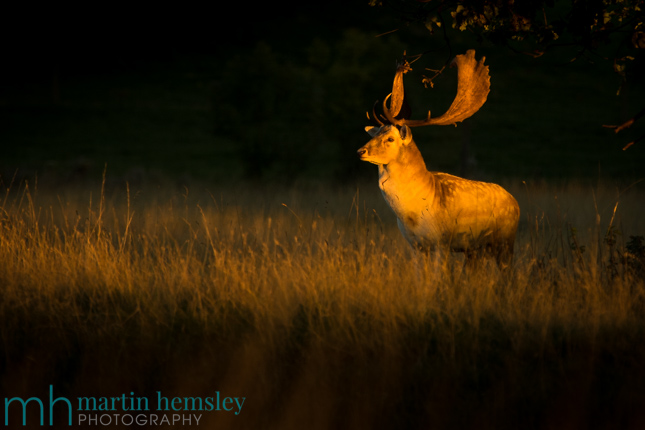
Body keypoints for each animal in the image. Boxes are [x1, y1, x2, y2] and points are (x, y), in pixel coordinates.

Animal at [358, 49, 520, 266]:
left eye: (390, 138)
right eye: (374, 134)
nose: (360, 151)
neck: (412, 214)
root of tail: (515, 202)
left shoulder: (441, 241)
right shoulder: (416, 245)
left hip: (505, 242)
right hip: (474, 250)